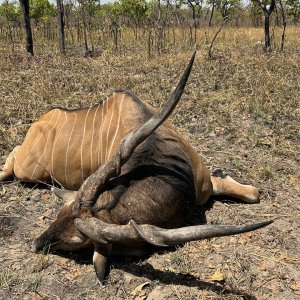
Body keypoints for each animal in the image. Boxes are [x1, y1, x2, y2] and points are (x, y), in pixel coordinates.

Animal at [0, 52, 272, 282]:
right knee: (13, 155)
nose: (37, 243)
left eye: (75, 241)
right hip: (28, 170)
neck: (155, 157)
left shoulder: (206, 185)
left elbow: (253, 194)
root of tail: (40, 123)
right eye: (58, 215)